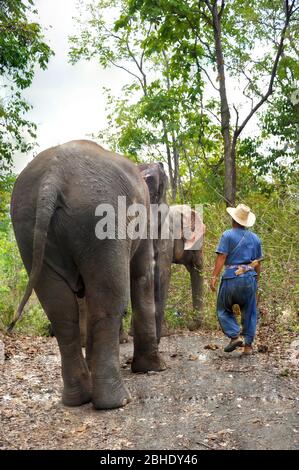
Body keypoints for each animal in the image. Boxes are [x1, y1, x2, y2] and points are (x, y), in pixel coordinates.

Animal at [10, 139, 166, 408]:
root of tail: (53, 177)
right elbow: (141, 273)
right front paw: (154, 368)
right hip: (101, 217)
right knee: (108, 300)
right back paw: (117, 401)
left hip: (27, 225)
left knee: (60, 310)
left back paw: (77, 398)